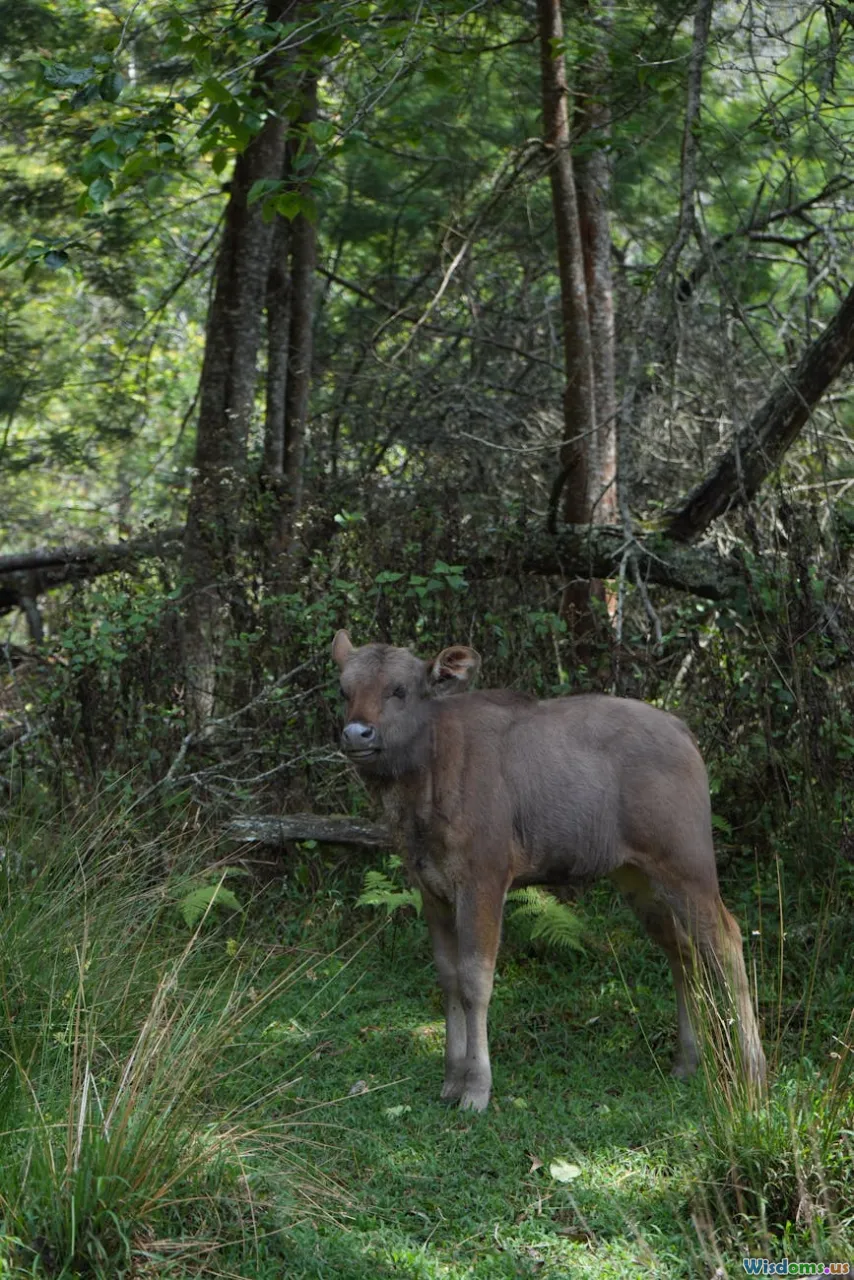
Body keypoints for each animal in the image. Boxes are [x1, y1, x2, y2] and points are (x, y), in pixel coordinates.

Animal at [332, 630, 767, 1112]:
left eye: (400, 690)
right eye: (344, 690)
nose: (356, 733)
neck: (427, 782)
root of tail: (684, 733)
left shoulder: (484, 880)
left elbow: (475, 980)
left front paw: (476, 1089)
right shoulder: (432, 889)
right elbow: (447, 977)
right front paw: (450, 1079)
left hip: (687, 863)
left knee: (725, 939)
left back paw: (752, 1072)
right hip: (638, 876)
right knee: (682, 950)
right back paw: (687, 1061)